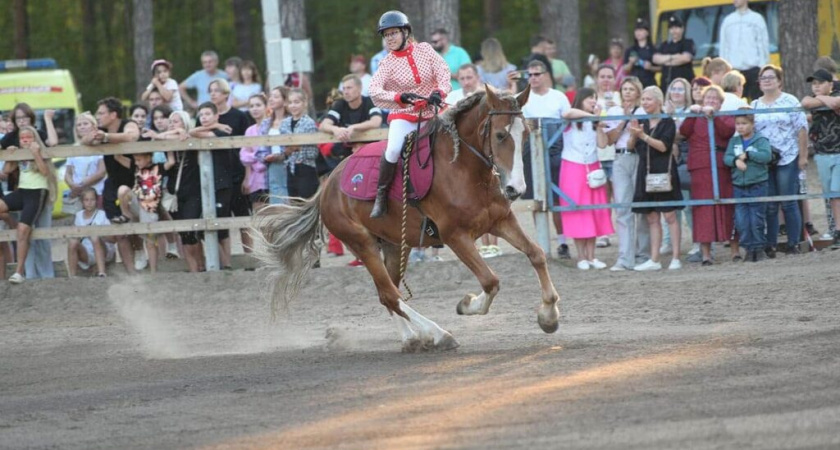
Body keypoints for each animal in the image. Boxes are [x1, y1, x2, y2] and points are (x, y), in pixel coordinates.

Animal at [253, 85, 560, 352]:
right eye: (499, 135)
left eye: (525, 134)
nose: (516, 188)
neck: (464, 170)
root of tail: (327, 187)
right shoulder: (456, 236)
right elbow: (490, 281)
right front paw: (467, 304)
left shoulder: (501, 221)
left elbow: (536, 254)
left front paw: (548, 315)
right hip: (363, 244)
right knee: (391, 294)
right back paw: (437, 334)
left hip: (395, 246)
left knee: (387, 294)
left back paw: (412, 338)